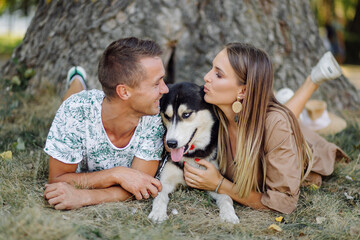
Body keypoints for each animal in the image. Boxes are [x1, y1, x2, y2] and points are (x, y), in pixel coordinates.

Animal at [148, 82, 240, 223]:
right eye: (167, 116)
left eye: (186, 114)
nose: (171, 143)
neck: (192, 155)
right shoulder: (164, 179)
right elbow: (160, 195)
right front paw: (158, 213)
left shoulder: (212, 181)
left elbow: (226, 197)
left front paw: (229, 215)